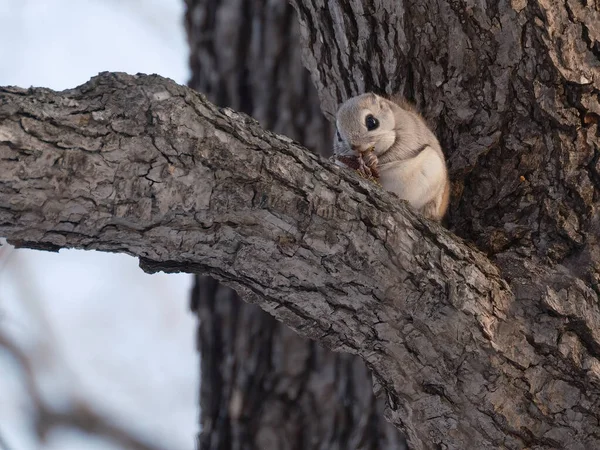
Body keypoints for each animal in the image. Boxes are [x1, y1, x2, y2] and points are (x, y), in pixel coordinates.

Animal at [332, 92, 450, 222]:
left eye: (371, 122)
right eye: (338, 135)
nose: (355, 146)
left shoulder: (410, 134)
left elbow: (398, 152)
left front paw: (374, 160)